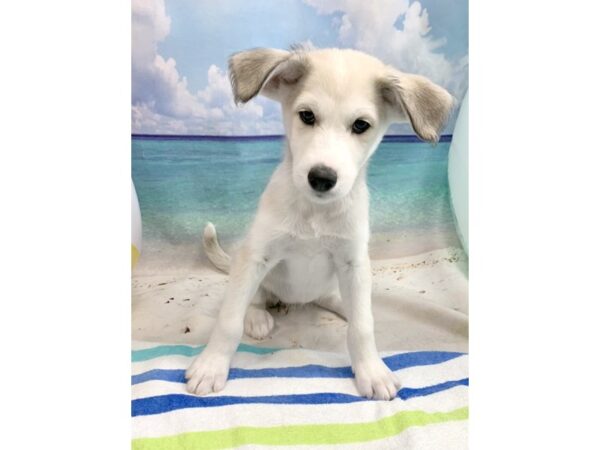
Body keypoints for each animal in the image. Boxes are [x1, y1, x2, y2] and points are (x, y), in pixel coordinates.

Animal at [185, 47, 452, 400]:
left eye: (361, 125)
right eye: (307, 116)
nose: (322, 178)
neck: (315, 212)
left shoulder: (354, 262)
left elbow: (362, 327)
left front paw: (371, 370)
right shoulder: (257, 255)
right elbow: (229, 320)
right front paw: (212, 365)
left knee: (340, 302)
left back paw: (343, 305)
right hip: (248, 266)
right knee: (253, 299)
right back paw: (257, 317)